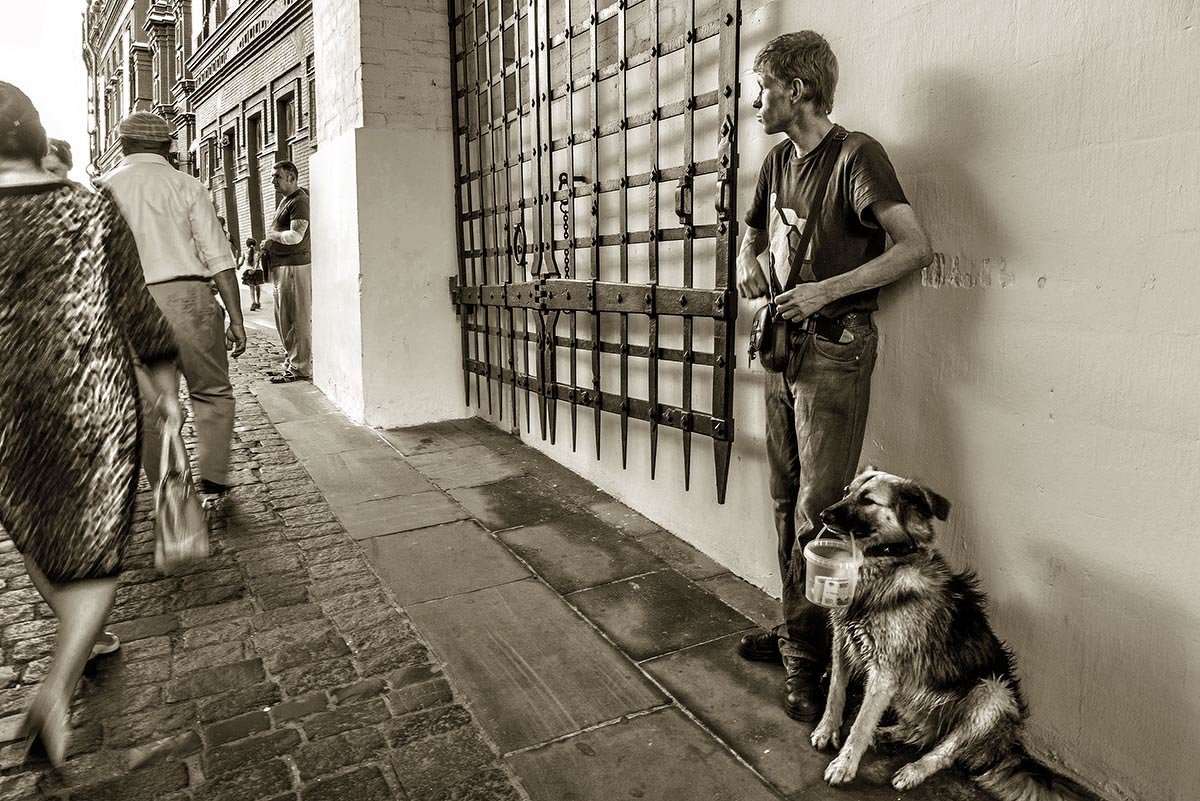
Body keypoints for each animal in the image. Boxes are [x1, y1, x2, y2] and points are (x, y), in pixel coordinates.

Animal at [811, 465, 1075, 801]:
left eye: (868, 500)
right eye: (847, 491)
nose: (823, 514)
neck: (887, 562)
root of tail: (1009, 747)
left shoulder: (884, 672)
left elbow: (860, 723)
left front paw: (844, 764)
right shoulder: (843, 642)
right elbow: (836, 691)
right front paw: (826, 730)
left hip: (992, 692)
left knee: (947, 749)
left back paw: (914, 770)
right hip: (912, 694)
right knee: (924, 733)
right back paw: (888, 734)